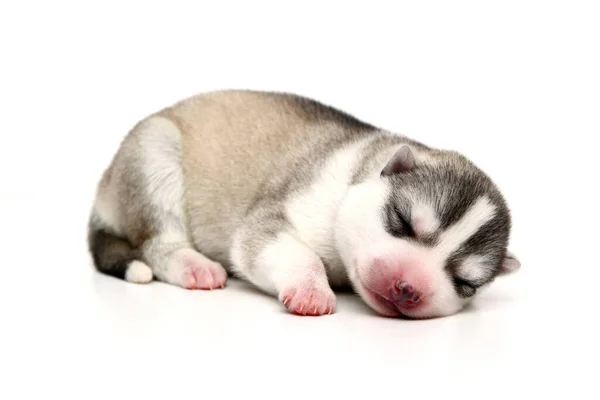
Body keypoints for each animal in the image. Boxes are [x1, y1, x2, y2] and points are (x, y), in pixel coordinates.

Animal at [86, 90, 516, 318]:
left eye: (464, 282)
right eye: (402, 220)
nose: (406, 288)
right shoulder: (274, 216)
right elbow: (293, 251)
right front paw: (311, 290)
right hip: (154, 156)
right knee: (157, 242)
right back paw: (193, 265)